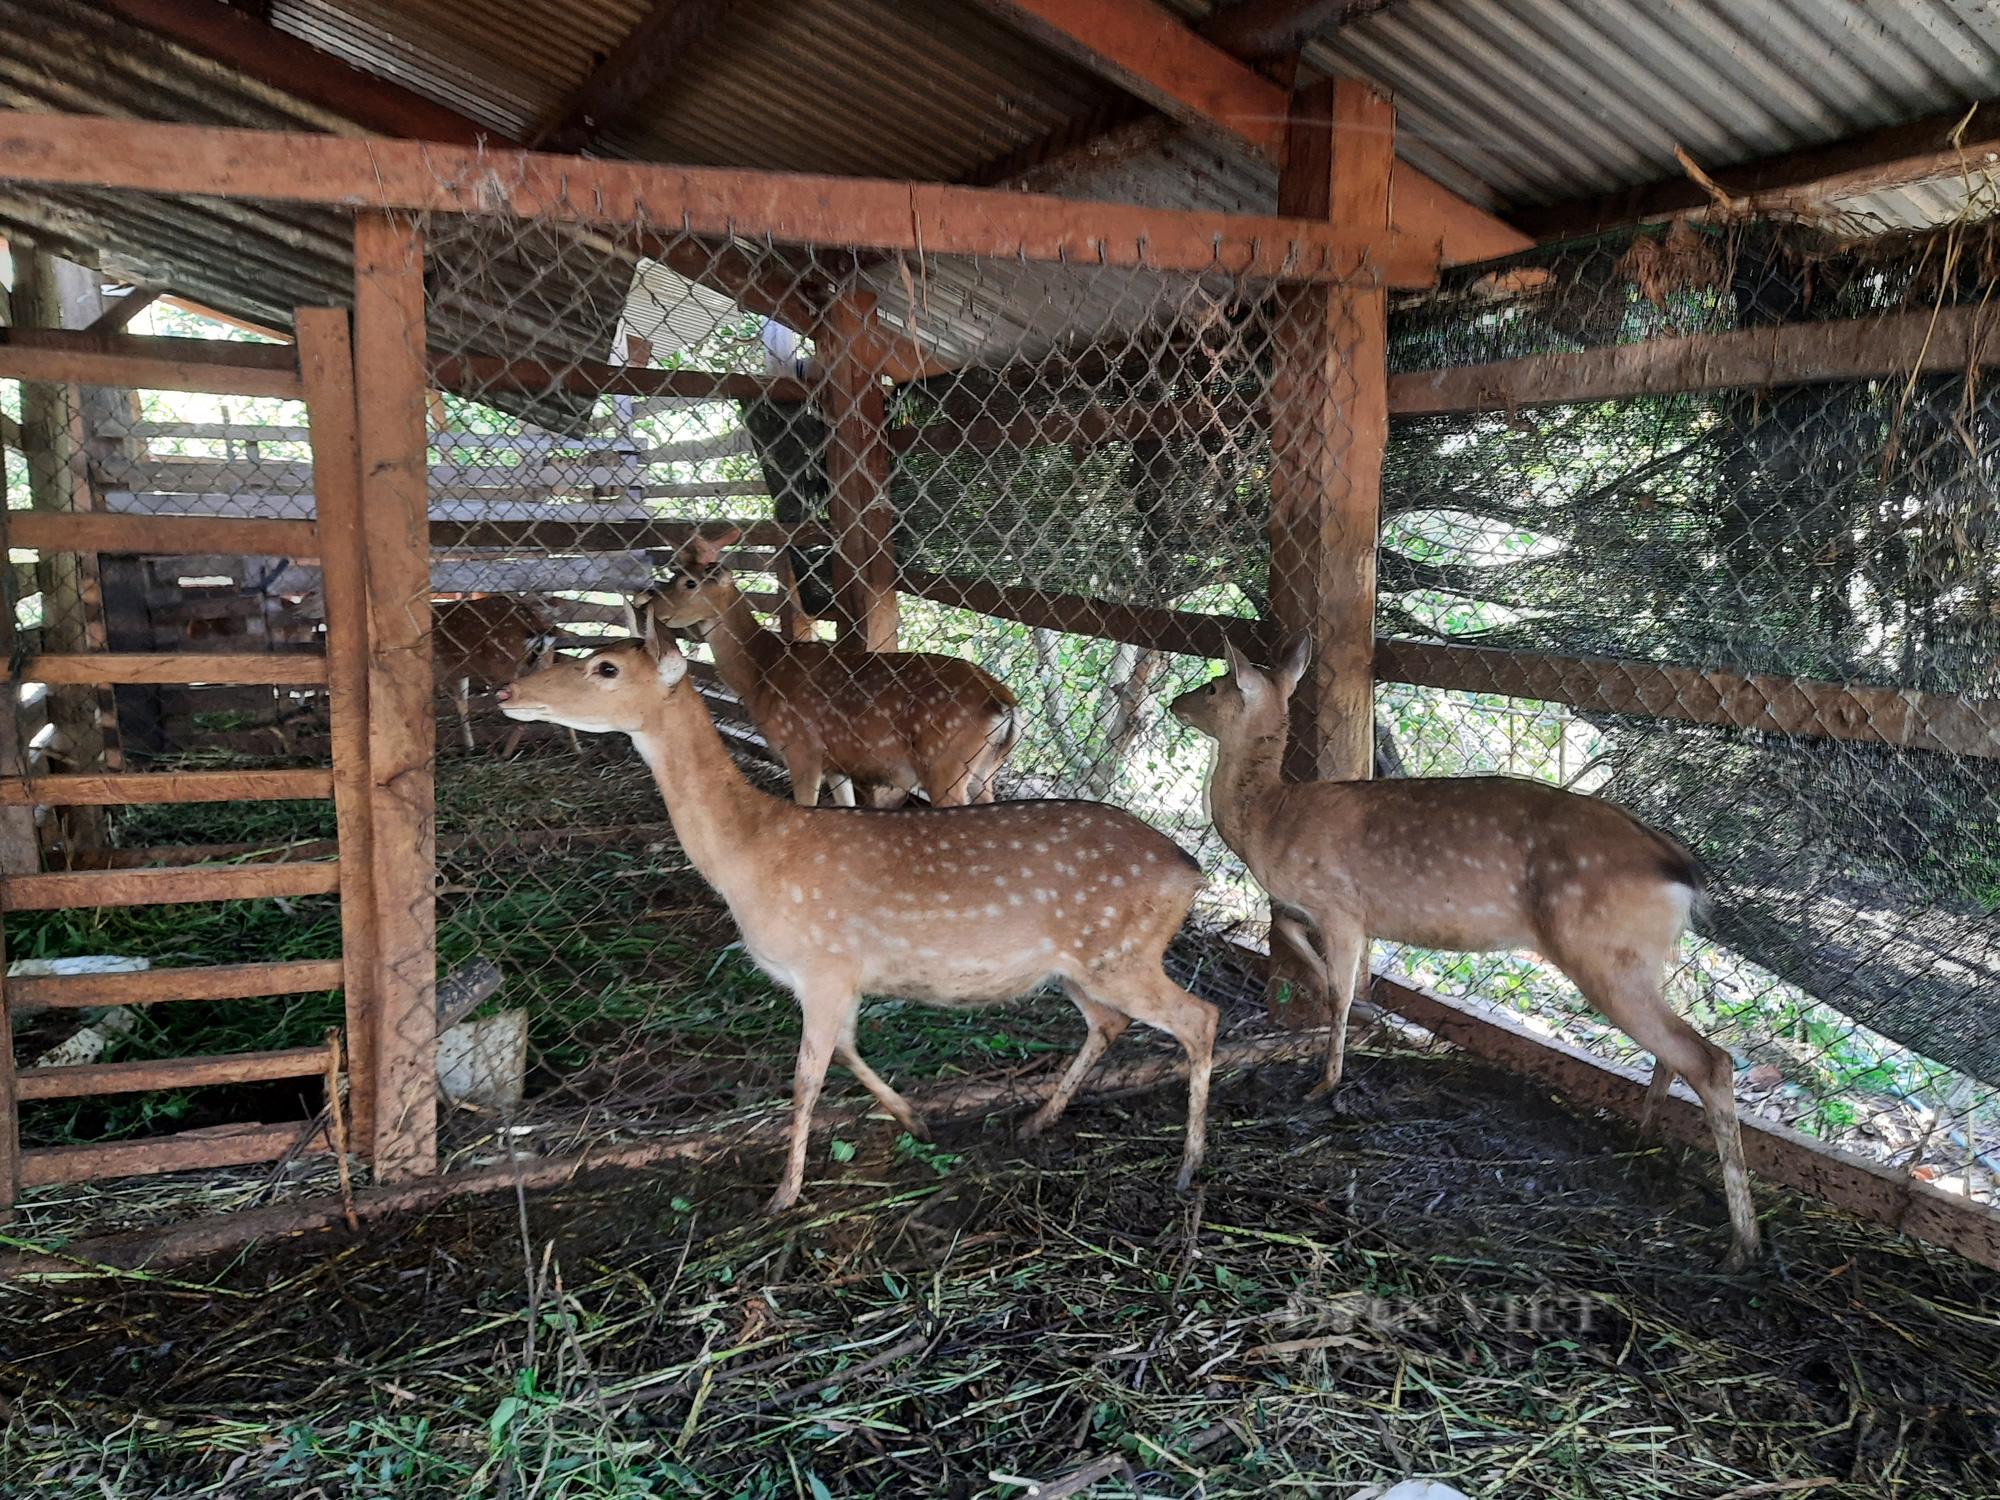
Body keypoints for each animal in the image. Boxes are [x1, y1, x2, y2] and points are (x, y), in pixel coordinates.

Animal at [500, 624, 1216, 1224]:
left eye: (605, 667)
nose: (507, 689)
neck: (752, 855)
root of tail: (1192, 871)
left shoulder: (823, 963)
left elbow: (806, 1077)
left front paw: (784, 1193)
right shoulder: (836, 978)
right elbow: (845, 1048)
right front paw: (915, 1120)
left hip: (1120, 953)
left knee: (1199, 1017)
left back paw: (1188, 1167)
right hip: (1076, 966)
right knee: (1109, 1023)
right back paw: (1037, 1122)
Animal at [632, 528, 1024, 812]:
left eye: (689, 583)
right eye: (673, 573)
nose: (643, 601)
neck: (762, 672)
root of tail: (1004, 704)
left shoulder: (802, 749)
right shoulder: (835, 763)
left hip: (945, 763)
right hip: (984, 772)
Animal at [1168, 640, 1760, 1272]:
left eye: (1215, 685)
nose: (1177, 702)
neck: (1271, 822)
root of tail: (1683, 872)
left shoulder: (1341, 905)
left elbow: (1338, 992)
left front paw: (1325, 1082)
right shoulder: (1335, 913)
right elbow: (1295, 936)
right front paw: (1369, 1016)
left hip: (1601, 953)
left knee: (1710, 1058)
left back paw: (1741, 1243)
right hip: (1640, 957)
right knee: (1679, 1048)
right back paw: (1644, 1140)